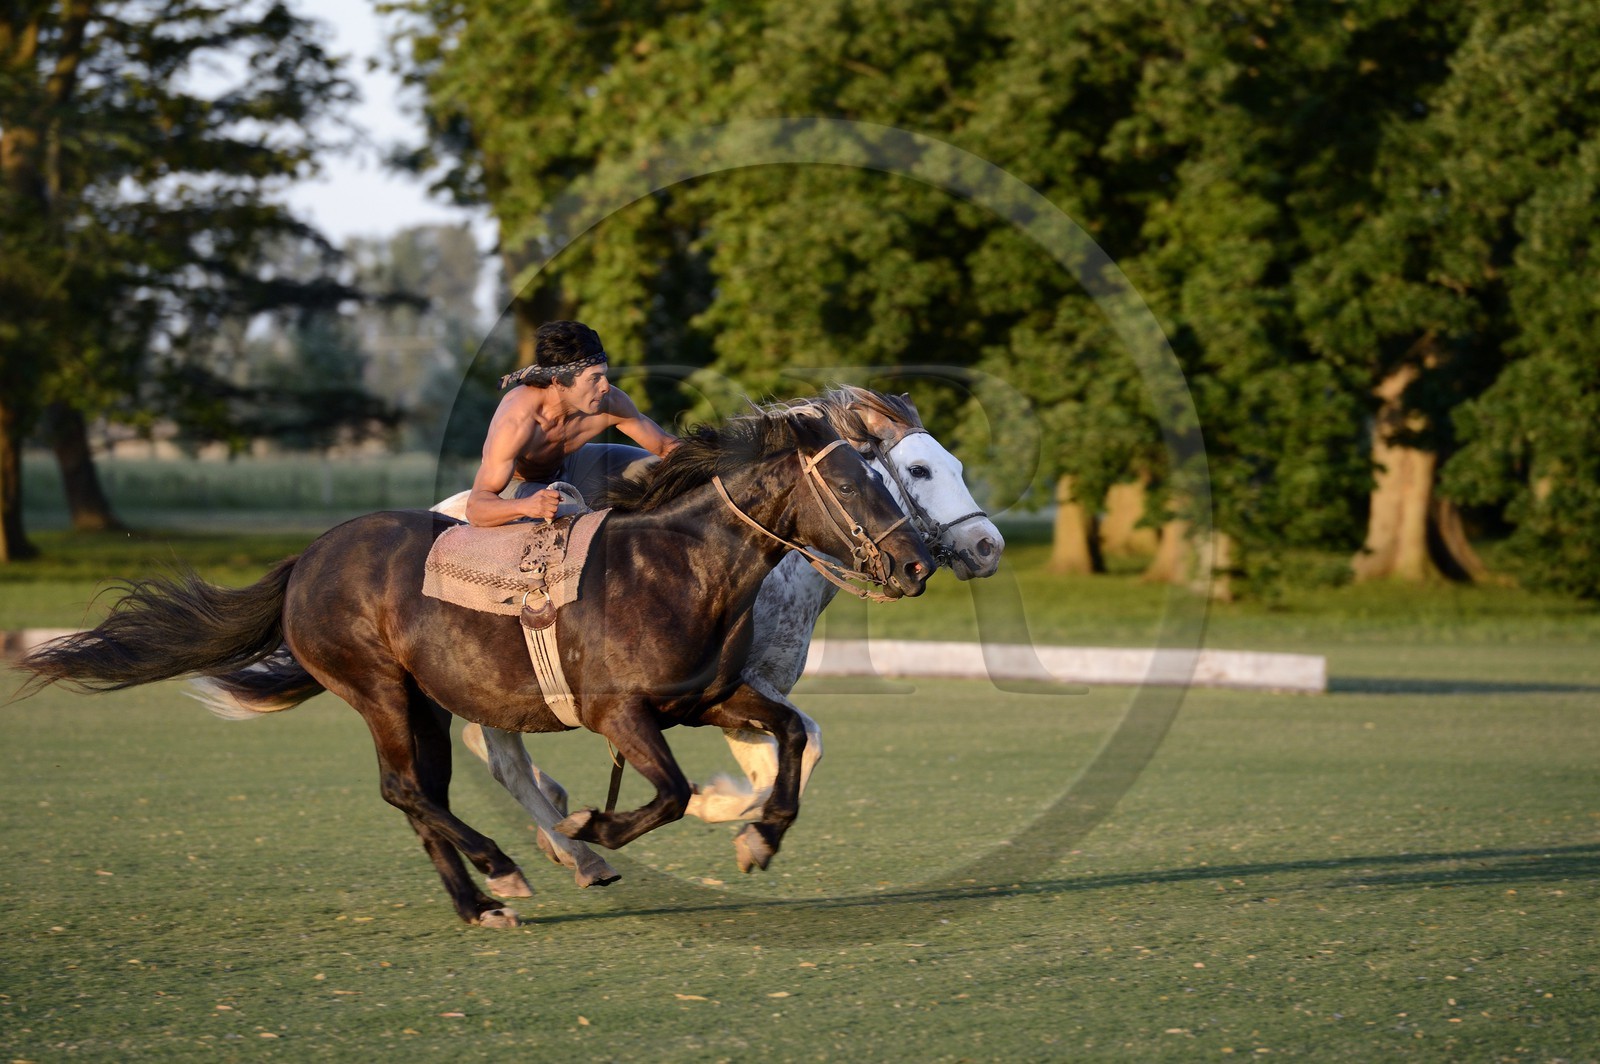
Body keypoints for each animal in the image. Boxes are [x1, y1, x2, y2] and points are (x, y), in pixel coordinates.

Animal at [16, 408, 934, 928]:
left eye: (889, 479)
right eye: (854, 485)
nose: (916, 564)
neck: (676, 570)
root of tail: (308, 560)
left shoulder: (712, 698)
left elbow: (788, 735)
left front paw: (759, 839)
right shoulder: (620, 716)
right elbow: (670, 794)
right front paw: (591, 827)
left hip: (422, 702)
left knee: (422, 795)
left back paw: (480, 901)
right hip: (379, 691)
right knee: (407, 789)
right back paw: (505, 868)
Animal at [428, 387, 1005, 889]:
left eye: (956, 466)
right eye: (918, 469)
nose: (987, 546)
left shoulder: (740, 693)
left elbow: (795, 752)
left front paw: (742, 821)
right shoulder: (737, 690)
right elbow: (791, 756)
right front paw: (720, 808)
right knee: (503, 761)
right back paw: (574, 849)